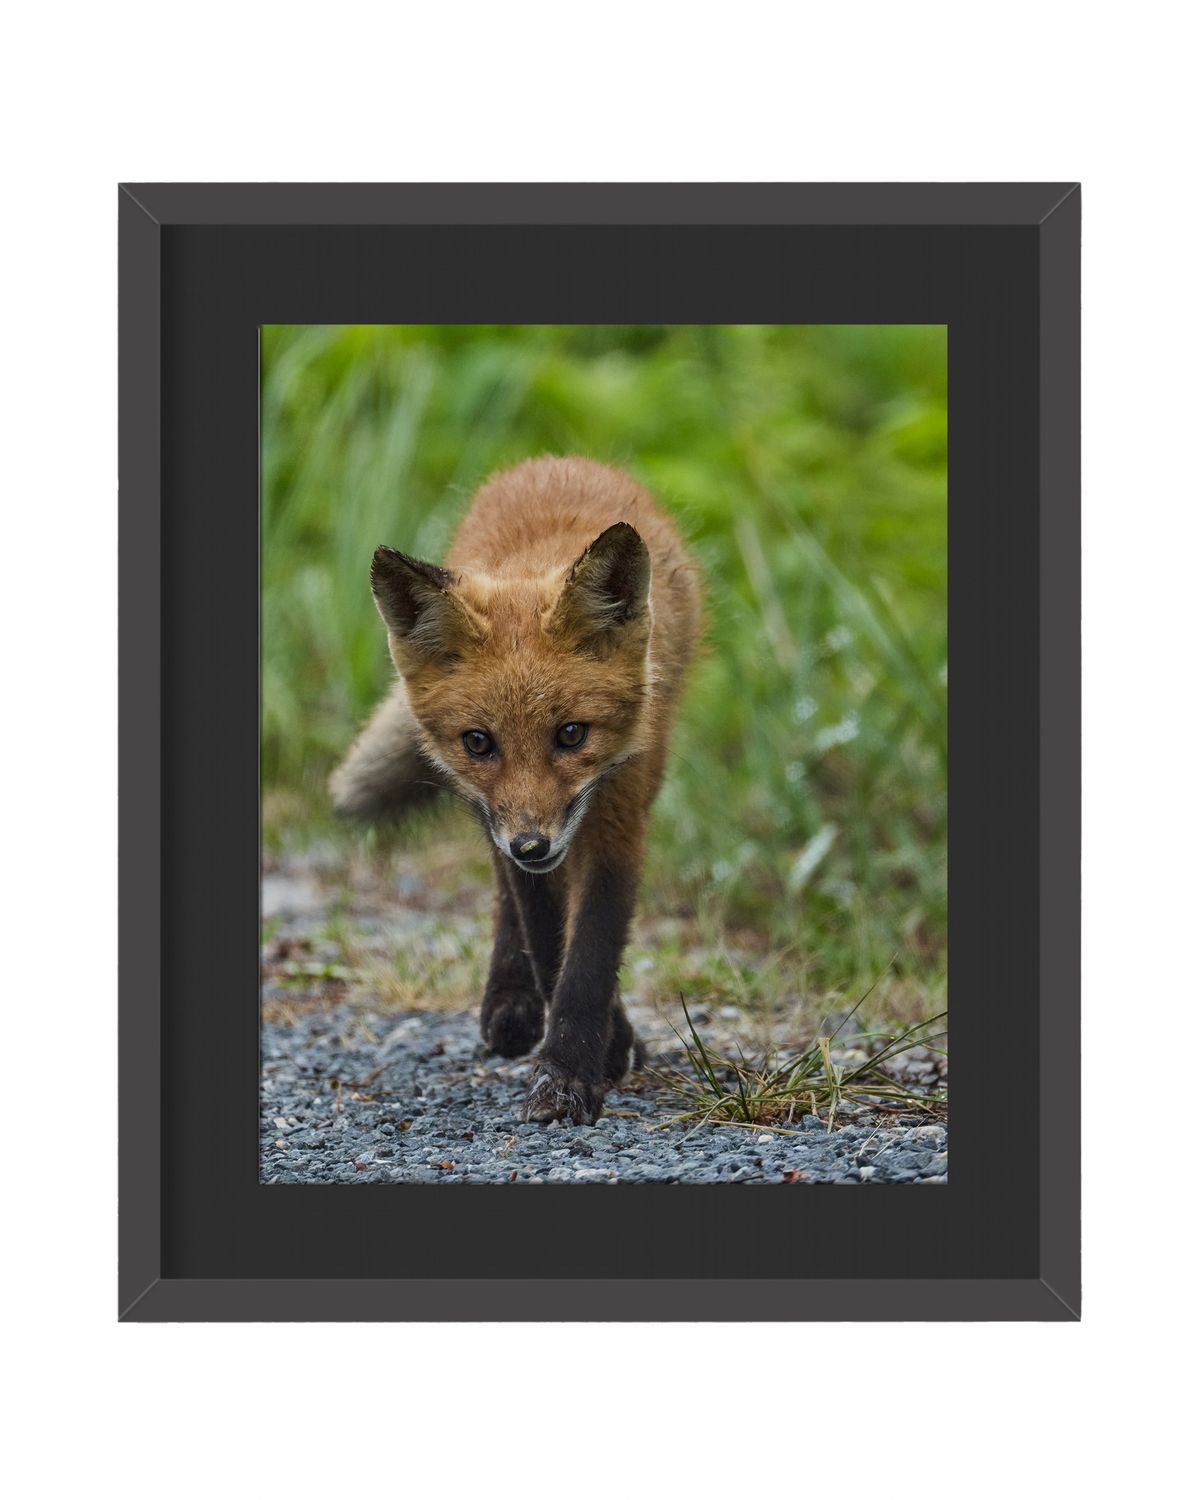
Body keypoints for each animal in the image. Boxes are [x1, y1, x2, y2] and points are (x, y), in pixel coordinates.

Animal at [330, 455, 701, 1125]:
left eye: (572, 734)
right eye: (480, 742)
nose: (533, 845)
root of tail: (555, 461)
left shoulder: (618, 816)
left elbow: (590, 957)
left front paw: (572, 1074)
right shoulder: (512, 826)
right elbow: (547, 940)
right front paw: (601, 1049)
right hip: (484, 810)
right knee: (505, 891)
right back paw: (510, 999)